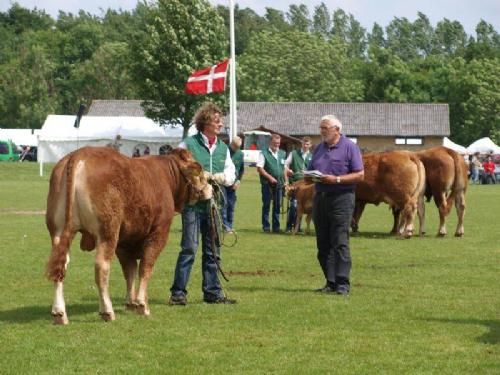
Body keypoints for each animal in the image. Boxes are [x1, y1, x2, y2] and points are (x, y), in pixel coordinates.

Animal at [46, 148, 212, 326]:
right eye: (200, 173)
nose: (211, 187)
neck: (166, 176)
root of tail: (79, 154)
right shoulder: (159, 233)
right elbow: (145, 267)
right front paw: (142, 305)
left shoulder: (125, 243)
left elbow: (130, 271)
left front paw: (131, 303)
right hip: (108, 232)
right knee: (101, 267)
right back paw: (107, 311)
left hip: (59, 232)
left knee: (60, 267)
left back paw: (59, 314)